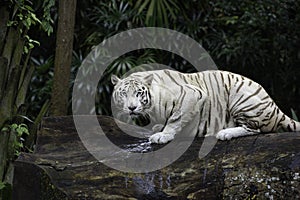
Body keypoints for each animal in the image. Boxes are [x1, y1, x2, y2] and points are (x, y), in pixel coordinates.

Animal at [110, 69, 300, 143]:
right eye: (123, 93)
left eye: (138, 93)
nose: (132, 108)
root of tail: (275, 108)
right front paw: (158, 128)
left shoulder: (192, 94)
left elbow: (175, 119)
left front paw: (163, 135)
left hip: (240, 96)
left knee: (256, 129)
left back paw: (225, 133)